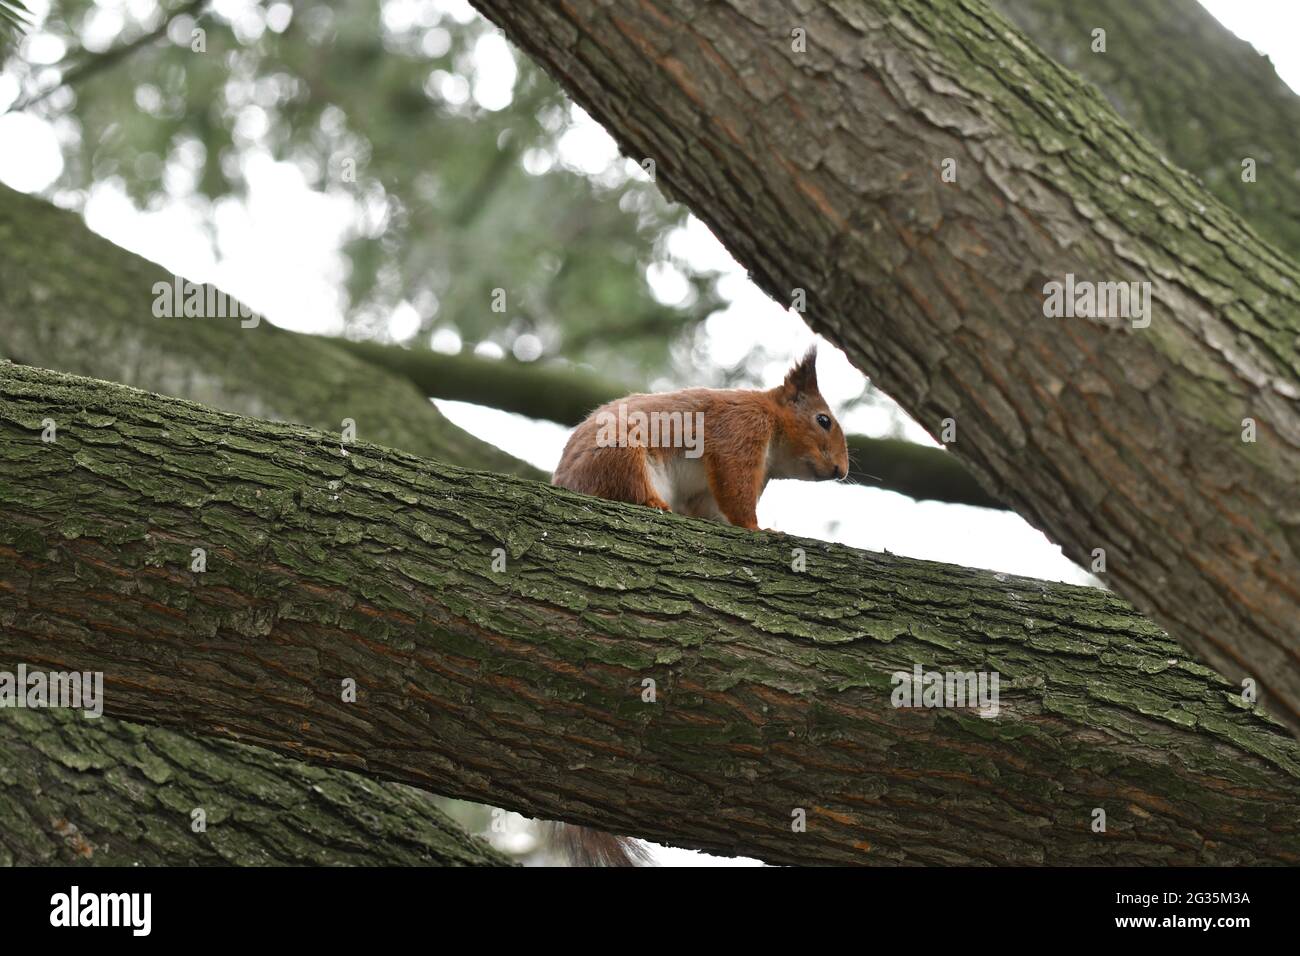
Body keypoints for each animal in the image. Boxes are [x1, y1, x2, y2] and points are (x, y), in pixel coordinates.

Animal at [543, 345, 847, 868]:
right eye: (823, 419)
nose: (843, 471)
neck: (771, 422)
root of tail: (569, 484)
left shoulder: (707, 494)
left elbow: (712, 507)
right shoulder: (739, 433)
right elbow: (735, 489)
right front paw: (759, 530)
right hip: (622, 453)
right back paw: (653, 506)